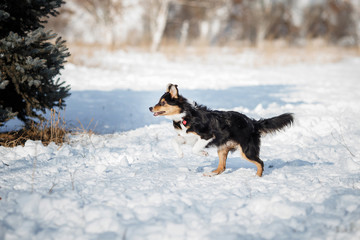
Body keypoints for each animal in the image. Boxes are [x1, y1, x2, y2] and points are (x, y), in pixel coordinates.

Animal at [149, 84, 292, 176]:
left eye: (162, 102)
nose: (150, 108)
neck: (185, 116)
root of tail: (252, 122)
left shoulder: (207, 136)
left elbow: (195, 149)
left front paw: (203, 153)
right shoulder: (186, 137)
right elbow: (173, 141)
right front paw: (180, 154)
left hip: (246, 150)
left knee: (260, 162)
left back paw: (257, 177)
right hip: (222, 149)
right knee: (222, 167)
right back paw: (211, 174)